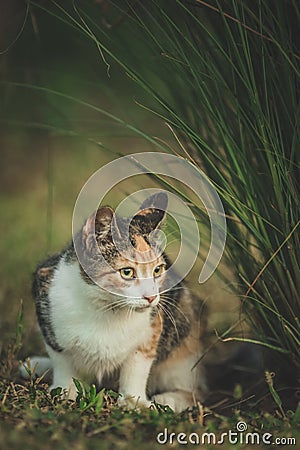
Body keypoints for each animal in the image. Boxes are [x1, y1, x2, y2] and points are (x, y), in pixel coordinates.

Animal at [24, 192, 206, 412]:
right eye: (126, 272)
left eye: (158, 270)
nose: (151, 297)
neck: (106, 307)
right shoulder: (46, 296)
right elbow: (62, 361)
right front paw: (65, 391)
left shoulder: (151, 331)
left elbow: (136, 366)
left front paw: (134, 401)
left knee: (198, 392)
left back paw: (168, 400)